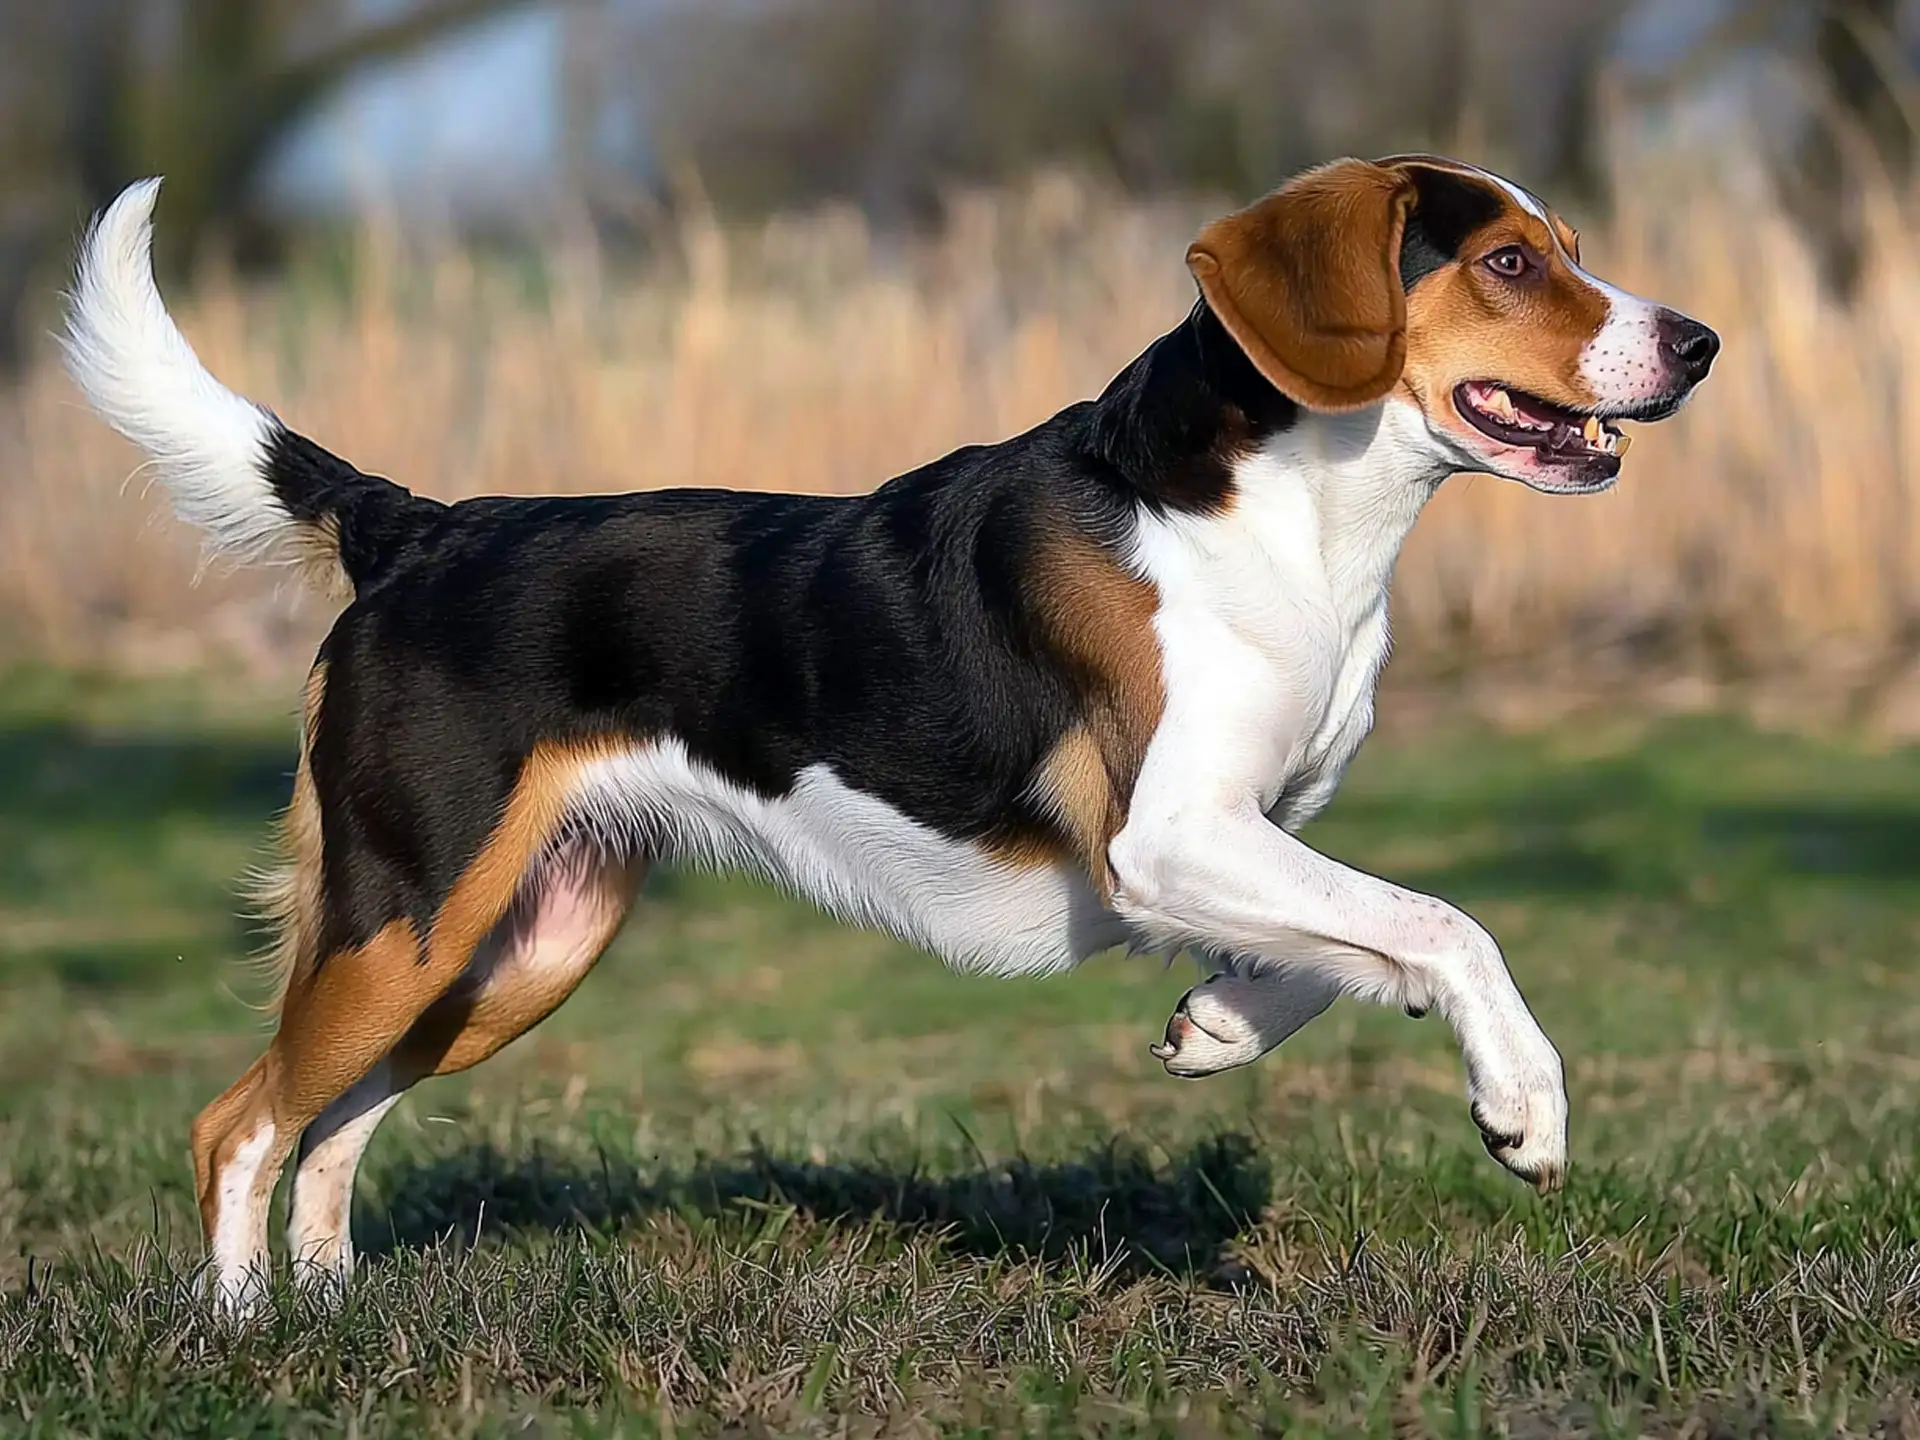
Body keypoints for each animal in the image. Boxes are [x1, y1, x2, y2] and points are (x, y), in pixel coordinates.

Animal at [67, 155, 1728, 1305]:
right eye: (1510, 262)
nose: (1702, 343)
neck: (1289, 511)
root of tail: (414, 528)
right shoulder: (1167, 837)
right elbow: (1447, 927)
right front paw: (1523, 1107)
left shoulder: (1235, 841)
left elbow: (1342, 955)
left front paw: (1217, 1029)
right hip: (404, 917)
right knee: (238, 1127)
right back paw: (242, 1340)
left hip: (508, 952)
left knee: (330, 1125)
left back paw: (332, 1318)